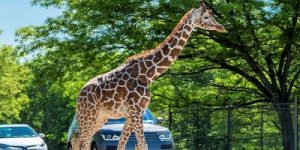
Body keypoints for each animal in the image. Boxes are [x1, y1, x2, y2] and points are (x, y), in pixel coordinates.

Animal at [74, 0, 225, 149]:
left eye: (212, 15)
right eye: (206, 17)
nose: (221, 27)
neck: (147, 75)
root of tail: (80, 94)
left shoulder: (132, 114)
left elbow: (123, 145)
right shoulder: (136, 111)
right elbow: (142, 144)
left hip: (100, 118)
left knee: (78, 140)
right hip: (89, 116)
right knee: (83, 142)